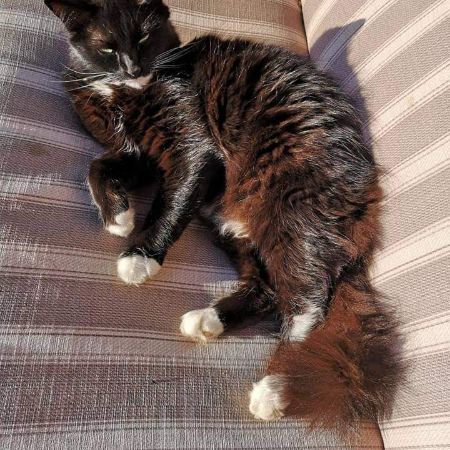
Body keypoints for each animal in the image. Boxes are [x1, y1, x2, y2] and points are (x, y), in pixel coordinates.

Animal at [45, 0, 404, 433]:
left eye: (144, 37)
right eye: (108, 47)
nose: (133, 68)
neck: (123, 93)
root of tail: (365, 201)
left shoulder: (194, 147)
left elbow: (169, 202)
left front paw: (139, 256)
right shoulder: (139, 154)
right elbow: (97, 166)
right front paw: (119, 216)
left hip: (290, 207)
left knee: (309, 302)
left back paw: (277, 385)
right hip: (230, 224)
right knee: (269, 290)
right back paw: (208, 321)